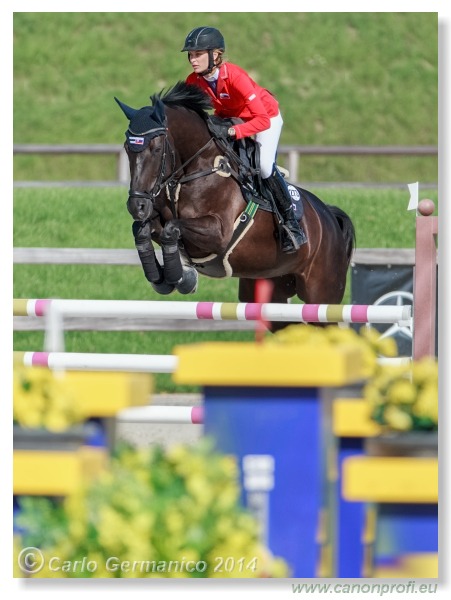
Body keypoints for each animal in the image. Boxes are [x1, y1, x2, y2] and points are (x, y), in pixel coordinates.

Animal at [116, 80, 356, 330]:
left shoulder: (218, 232)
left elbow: (172, 228)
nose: (137, 206)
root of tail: (329, 216)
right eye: (127, 148)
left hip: (322, 295)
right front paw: (164, 278)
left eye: (155, 148)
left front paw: (180, 278)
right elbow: (143, 229)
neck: (194, 171)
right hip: (271, 288)